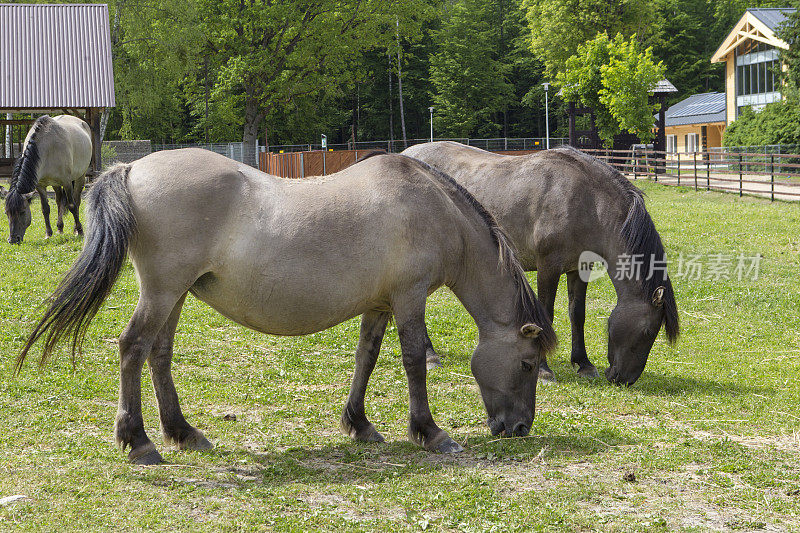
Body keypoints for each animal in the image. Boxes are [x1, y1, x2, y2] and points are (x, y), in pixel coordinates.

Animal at [4, 115, 90, 244]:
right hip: (55, 184)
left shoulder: (67, 182)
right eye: (6, 213)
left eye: (22, 211)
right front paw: (48, 234)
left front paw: (80, 231)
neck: (47, 149)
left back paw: (75, 229)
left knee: (77, 200)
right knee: (59, 201)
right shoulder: (40, 185)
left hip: (80, 177)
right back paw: (60, 228)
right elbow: (45, 209)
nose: (13, 239)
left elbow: (72, 206)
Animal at [17, 148, 556, 464]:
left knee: (158, 354)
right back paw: (139, 441)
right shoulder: (409, 296)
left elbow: (366, 358)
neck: (430, 206)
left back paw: (183, 432)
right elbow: (413, 362)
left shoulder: (380, 304)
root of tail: (133, 169)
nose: (519, 429)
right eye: (528, 364)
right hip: (163, 291)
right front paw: (430, 432)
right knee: (132, 348)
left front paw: (359, 424)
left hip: (174, 295)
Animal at [404, 139, 680, 384]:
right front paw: (544, 371)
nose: (624, 380)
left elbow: (577, 313)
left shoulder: (579, 268)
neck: (585, 200)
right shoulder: (548, 267)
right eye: (647, 332)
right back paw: (429, 356)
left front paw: (583, 364)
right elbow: (546, 315)